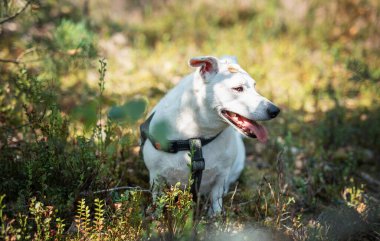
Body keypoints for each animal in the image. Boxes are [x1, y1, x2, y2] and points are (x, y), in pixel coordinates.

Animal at [141, 55, 280, 214]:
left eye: (255, 86)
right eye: (238, 88)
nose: (275, 110)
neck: (196, 137)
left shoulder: (221, 177)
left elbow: (216, 199)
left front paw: (215, 215)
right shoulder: (156, 177)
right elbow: (157, 202)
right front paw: (155, 216)